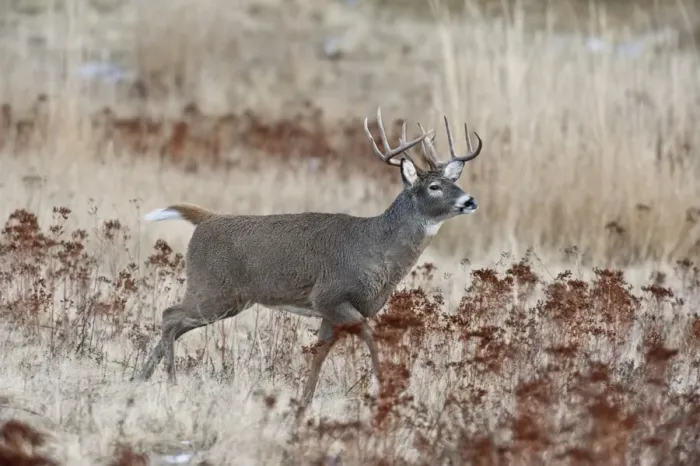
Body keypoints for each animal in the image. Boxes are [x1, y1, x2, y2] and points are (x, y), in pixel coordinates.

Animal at [135, 108, 483, 406]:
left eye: (454, 181)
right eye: (435, 186)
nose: (470, 201)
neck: (376, 250)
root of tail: (206, 219)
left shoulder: (333, 310)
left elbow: (319, 353)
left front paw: (304, 401)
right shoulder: (331, 295)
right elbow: (369, 338)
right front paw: (385, 388)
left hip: (230, 299)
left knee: (175, 323)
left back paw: (141, 376)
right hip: (213, 289)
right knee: (170, 315)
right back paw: (169, 380)